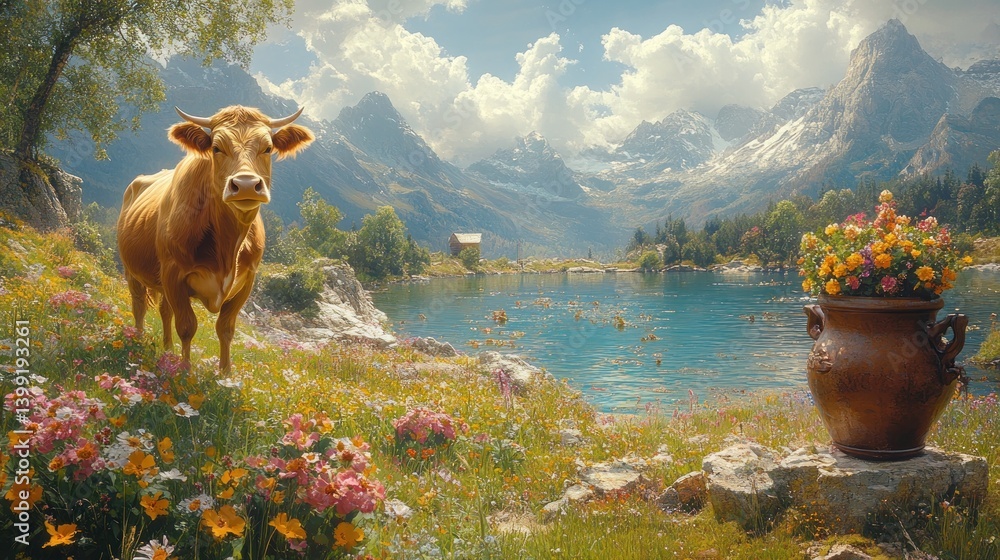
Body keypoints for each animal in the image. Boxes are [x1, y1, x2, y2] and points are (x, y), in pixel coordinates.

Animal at [117, 105, 314, 372]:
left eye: (268, 148)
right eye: (216, 148)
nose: (246, 185)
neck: (228, 247)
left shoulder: (247, 280)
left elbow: (226, 329)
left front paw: (225, 374)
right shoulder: (174, 273)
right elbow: (187, 326)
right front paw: (185, 371)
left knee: (164, 310)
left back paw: (167, 350)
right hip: (132, 270)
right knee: (139, 305)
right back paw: (138, 341)